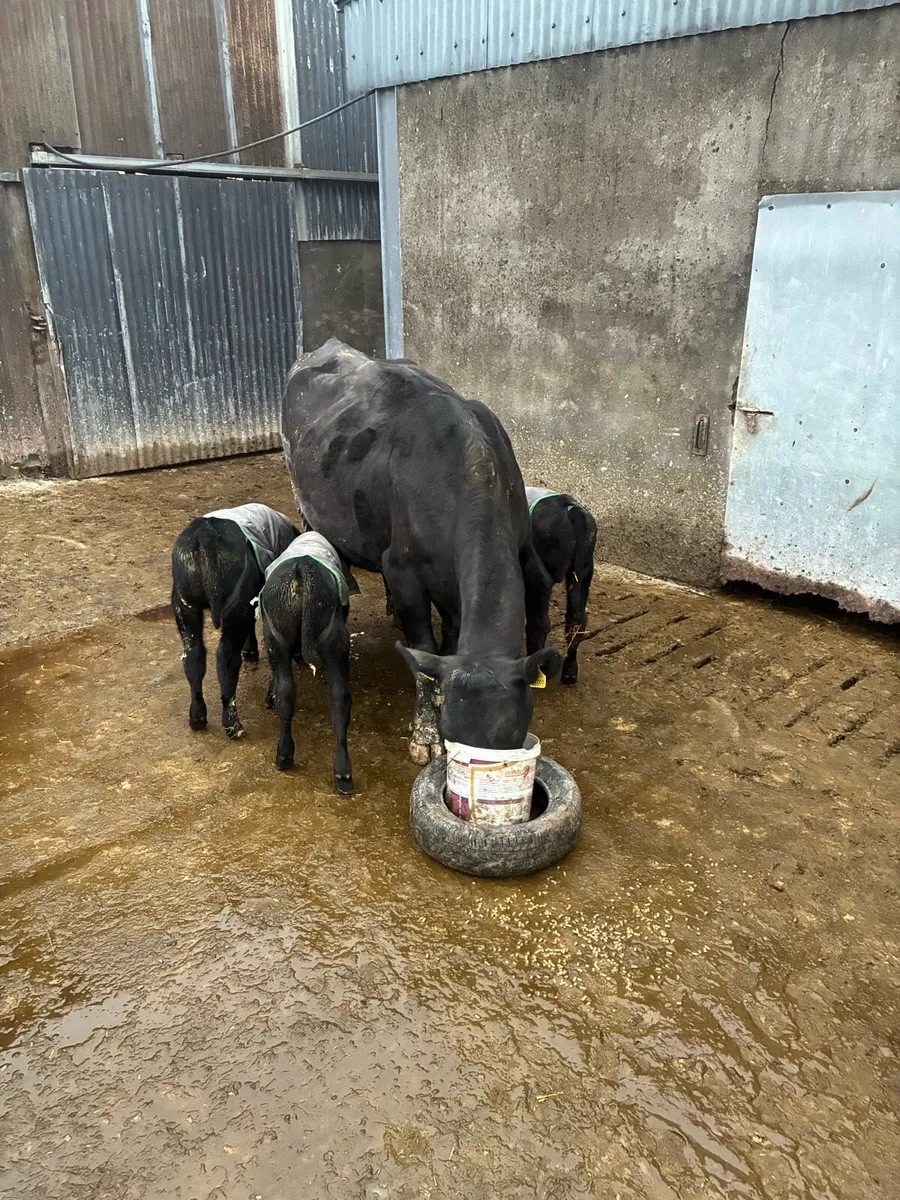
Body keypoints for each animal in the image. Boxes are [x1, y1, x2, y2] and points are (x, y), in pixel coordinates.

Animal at [171, 503, 299, 737]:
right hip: (235, 606)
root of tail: (205, 535)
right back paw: (232, 724)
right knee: (227, 657)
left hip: (184, 602)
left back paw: (197, 717)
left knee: (193, 655)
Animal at [257, 531, 355, 794]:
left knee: (288, 692)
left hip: (277, 637)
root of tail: (301, 571)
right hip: (330, 641)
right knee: (337, 696)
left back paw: (286, 755)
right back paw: (341, 771)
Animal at [282, 339, 561, 763]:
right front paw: (424, 733)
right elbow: (424, 651)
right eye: (451, 736)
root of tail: (330, 345)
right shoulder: (403, 569)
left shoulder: (520, 544)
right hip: (307, 500)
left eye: (510, 735)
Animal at [526, 487, 597, 685]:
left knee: (539, 624)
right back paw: (570, 673)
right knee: (577, 619)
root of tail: (568, 507)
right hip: (583, 570)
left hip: (537, 576)